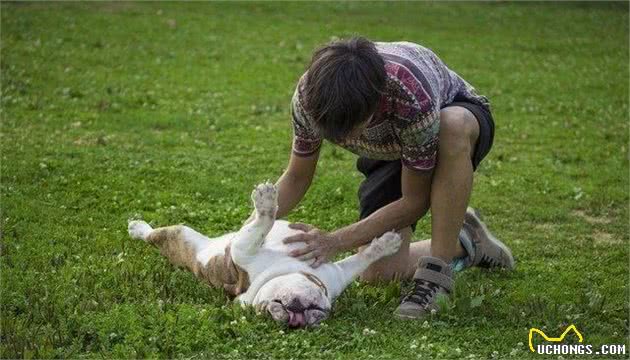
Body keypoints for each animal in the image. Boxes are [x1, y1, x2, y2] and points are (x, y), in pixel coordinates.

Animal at [130, 181, 404, 328]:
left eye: (320, 313)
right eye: (265, 311)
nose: (296, 321)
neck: (289, 269)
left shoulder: (338, 274)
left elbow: (361, 259)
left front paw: (386, 244)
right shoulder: (243, 251)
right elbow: (261, 225)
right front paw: (266, 202)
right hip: (183, 237)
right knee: (154, 234)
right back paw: (137, 228)